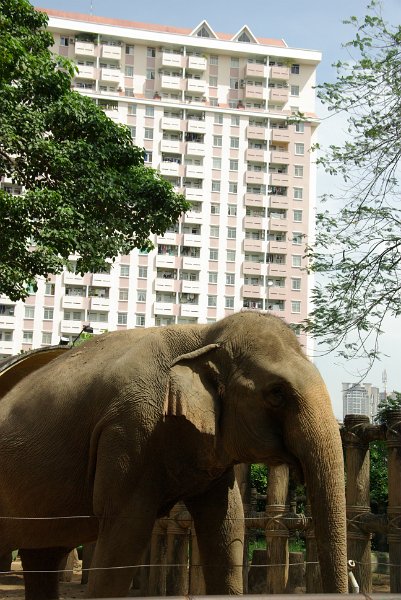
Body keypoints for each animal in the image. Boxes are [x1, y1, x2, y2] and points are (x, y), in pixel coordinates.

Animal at [0, 312, 346, 596]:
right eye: (276, 393)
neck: (203, 334)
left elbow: (226, 525)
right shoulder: (129, 428)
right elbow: (125, 529)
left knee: (42, 554)